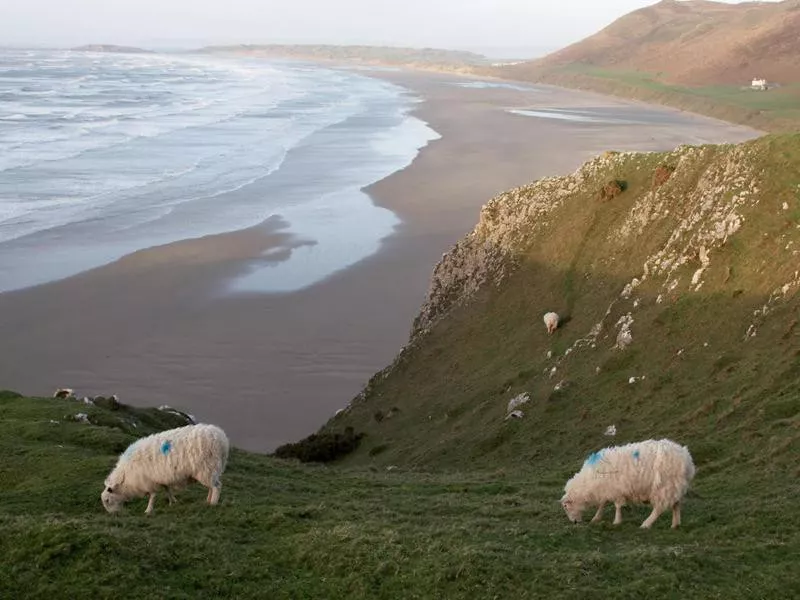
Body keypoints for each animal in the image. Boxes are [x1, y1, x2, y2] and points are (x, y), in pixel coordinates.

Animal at [101, 422, 230, 516]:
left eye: (107, 500)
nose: (114, 515)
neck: (126, 477)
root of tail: (222, 439)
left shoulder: (149, 482)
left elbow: (152, 496)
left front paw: (148, 510)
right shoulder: (161, 479)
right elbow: (168, 490)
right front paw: (173, 502)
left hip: (207, 468)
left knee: (217, 486)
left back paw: (213, 503)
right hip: (209, 470)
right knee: (211, 487)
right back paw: (207, 501)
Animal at [560, 436, 696, 528]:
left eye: (566, 507)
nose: (575, 522)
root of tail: (687, 459)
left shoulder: (615, 490)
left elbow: (617, 505)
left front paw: (616, 521)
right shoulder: (607, 489)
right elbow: (603, 503)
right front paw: (596, 518)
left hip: (664, 487)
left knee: (659, 508)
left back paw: (646, 524)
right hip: (674, 486)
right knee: (676, 505)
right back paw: (675, 524)